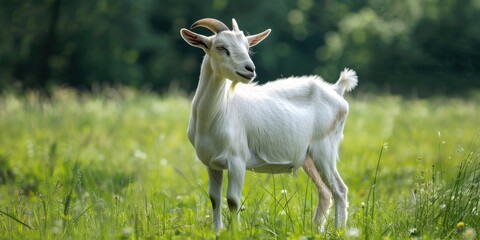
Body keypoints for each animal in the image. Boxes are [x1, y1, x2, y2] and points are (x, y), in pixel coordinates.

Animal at [180, 17, 356, 232]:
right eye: (221, 47)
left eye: (247, 47)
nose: (250, 69)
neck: (217, 113)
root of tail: (336, 89)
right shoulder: (211, 164)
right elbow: (214, 199)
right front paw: (217, 231)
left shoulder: (237, 159)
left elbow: (233, 200)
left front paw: (236, 232)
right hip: (308, 158)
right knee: (324, 191)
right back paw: (316, 230)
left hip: (325, 149)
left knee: (340, 190)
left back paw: (339, 230)